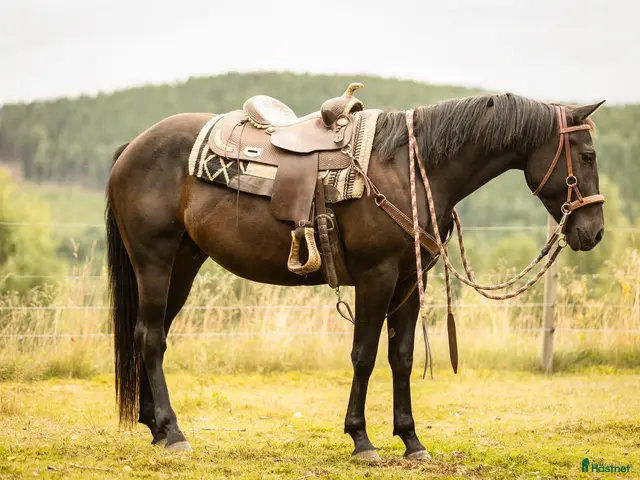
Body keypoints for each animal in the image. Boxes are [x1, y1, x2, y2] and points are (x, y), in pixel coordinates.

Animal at [105, 91, 605, 461]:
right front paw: (361, 440)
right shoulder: (376, 276)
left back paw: (155, 427)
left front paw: (411, 441)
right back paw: (173, 433)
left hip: (183, 264)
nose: (594, 231)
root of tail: (133, 147)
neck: (410, 167)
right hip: (154, 260)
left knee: (148, 333)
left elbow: (401, 357)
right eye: (587, 155)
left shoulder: (409, 283)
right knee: (152, 338)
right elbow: (363, 355)